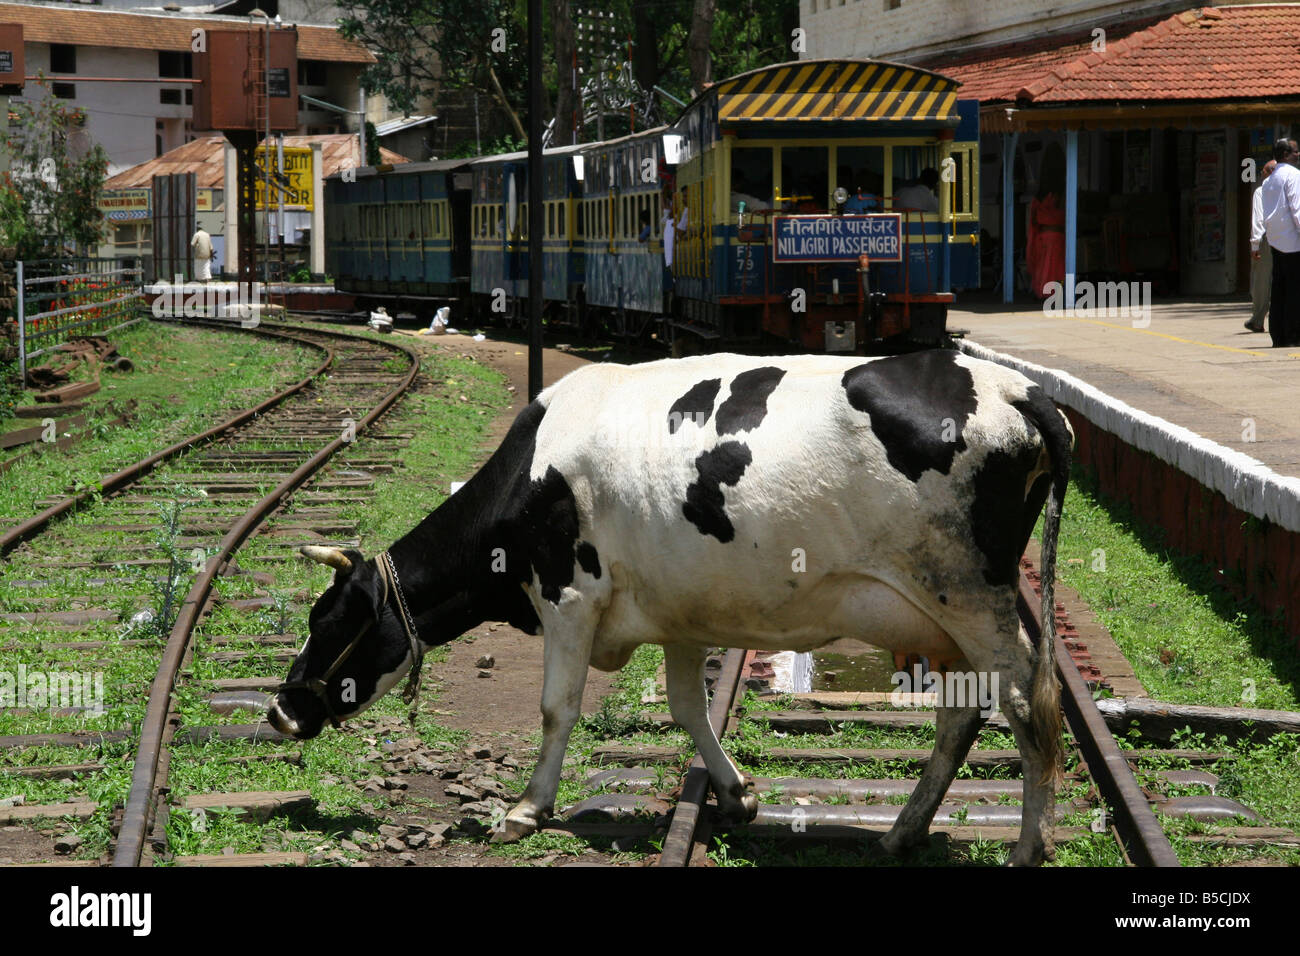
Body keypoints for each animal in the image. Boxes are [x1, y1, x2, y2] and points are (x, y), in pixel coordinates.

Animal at [269, 348, 1071, 868]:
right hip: (944, 613)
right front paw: (737, 796)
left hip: (971, 595)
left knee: (1029, 707)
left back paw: (1027, 849)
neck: (533, 469)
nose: (279, 710)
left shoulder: (568, 594)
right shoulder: (686, 609)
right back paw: (902, 833)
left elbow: (557, 708)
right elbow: (689, 708)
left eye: (327, 622)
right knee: (964, 714)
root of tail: (1015, 389)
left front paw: (526, 809)